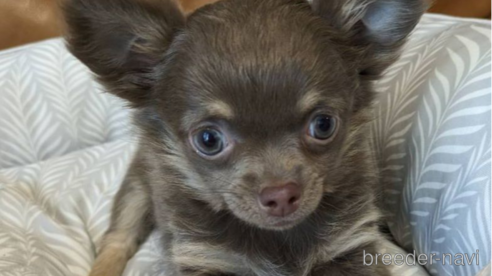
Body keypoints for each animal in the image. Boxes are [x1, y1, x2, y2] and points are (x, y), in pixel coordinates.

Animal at [64, 0, 426, 274]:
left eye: (323, 125)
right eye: (208, 140)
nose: (281, 195)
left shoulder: (349, 247)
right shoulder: (206, 258)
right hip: (138, 187)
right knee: (117, 239)